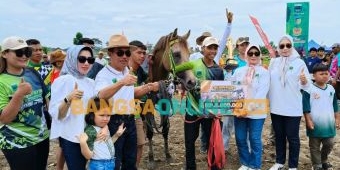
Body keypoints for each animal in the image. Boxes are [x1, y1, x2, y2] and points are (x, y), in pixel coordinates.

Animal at [145, 28, 197, 169]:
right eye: (176, 54)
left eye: (189, 54)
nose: (192, 82)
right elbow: (150, 131)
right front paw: (151, 158)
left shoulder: (165, 104)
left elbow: (165, 129)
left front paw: (167, 155)